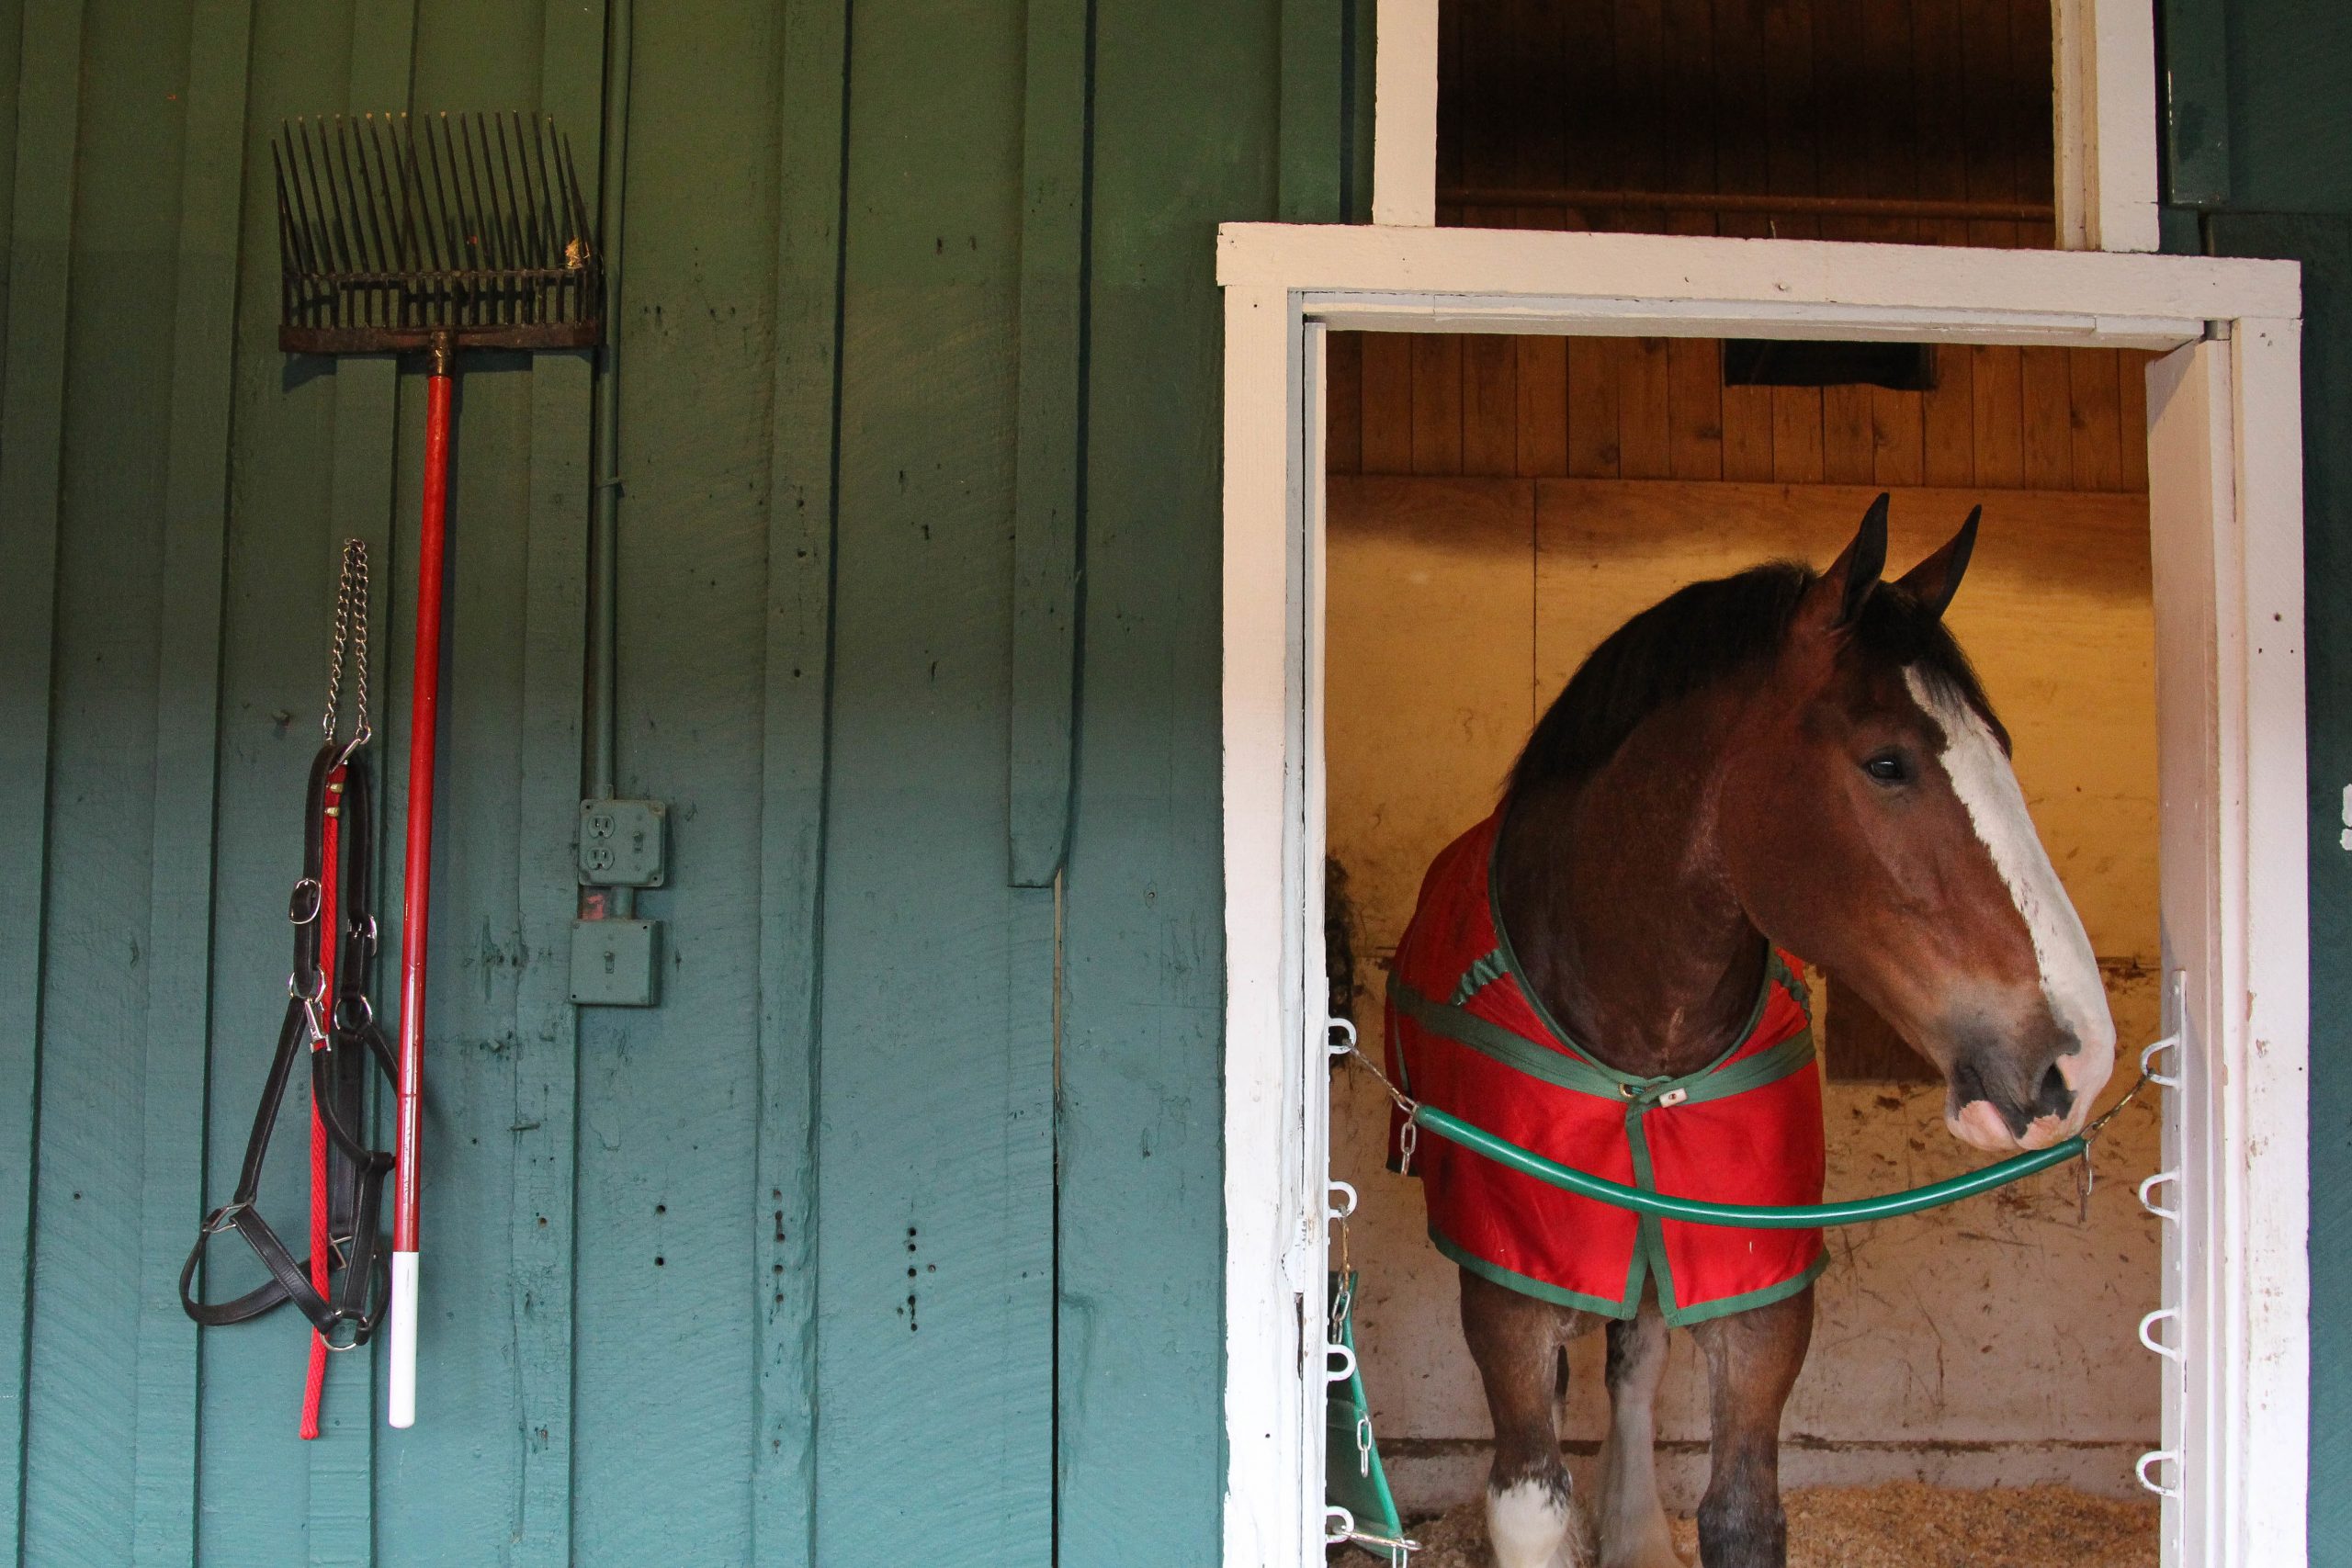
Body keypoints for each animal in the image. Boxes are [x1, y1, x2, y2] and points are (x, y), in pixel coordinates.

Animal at [1383, 493, 2126, 1568]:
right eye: (1887, 763)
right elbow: (1529, 1497)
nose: (2076, 1057)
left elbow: (1741, 1512)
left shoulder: (1759, 1285)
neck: (1641, 1038)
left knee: (1635, 1358)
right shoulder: (1507, 1288)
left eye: (2004, 755)